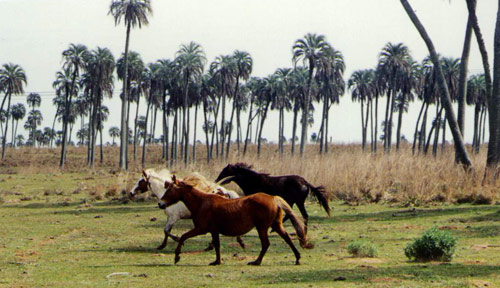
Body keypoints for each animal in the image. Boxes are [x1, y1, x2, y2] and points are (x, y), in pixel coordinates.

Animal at [158, 173, 312, 266]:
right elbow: (217, 245)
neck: (201, 202)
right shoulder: (214, 231)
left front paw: (177, 257)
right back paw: (297, 258)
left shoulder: (201, 229)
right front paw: (217, 261)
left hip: (262, 227)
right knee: (287, 238)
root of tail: (273, 198)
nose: (160, 204)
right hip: (276, 225)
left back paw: (256, 261)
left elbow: (183, 237)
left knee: (266, 244)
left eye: (170, 189)